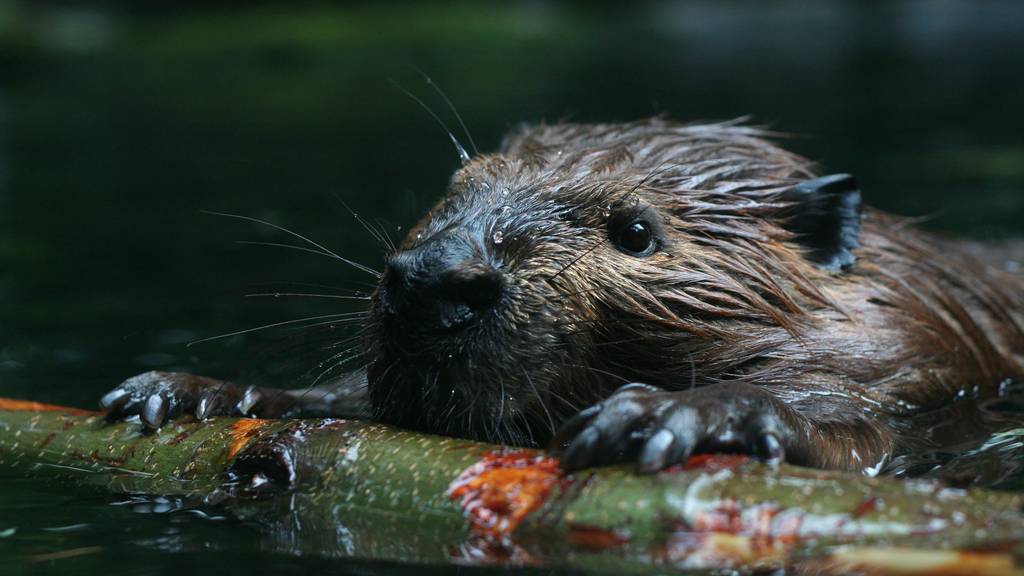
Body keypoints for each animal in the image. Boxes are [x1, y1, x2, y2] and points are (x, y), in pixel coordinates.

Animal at [99, 118, 1024, 473]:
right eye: (457, 184)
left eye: (636, 231)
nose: (437, 280)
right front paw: (188, 392)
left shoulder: (917, 351)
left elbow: (848, 419)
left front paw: (665, 414)